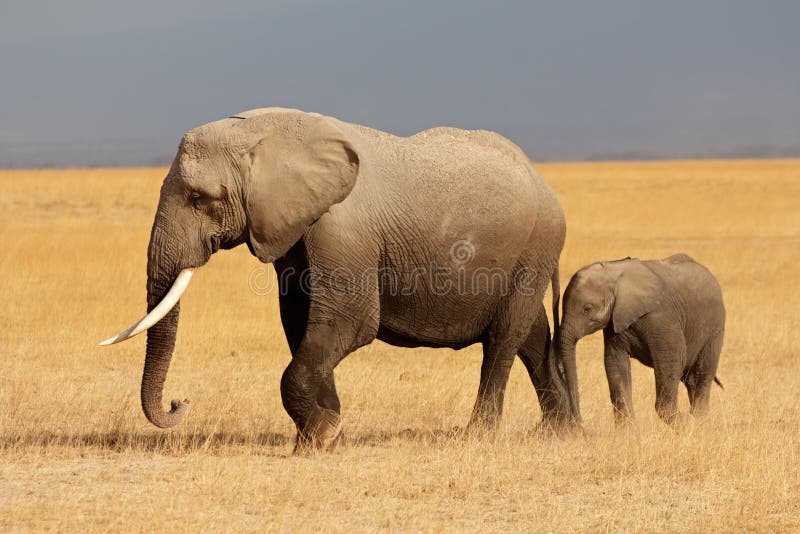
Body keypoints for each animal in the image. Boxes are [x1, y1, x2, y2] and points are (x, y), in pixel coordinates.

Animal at [101, 107, 568, 450]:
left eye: (201, 199)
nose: (180, 402)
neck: (266, 133)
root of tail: (544, 181)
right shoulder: (292, 229)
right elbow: (300, 323)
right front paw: (325, 430)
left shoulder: (341, 227)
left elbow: (351, 322)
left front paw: (321, 436)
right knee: (532, 335)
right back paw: (561, 430)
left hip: (536, 245)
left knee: (504, 338)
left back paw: (479, 435)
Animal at [556, 255, 724, 428]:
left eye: (587, 309)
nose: (581, 423)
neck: (615, 273)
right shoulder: (614, 322)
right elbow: (615, 363)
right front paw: (626, 431)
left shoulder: (662, 318)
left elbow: (671, 360)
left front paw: (686, 423)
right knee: (691, 379)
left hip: (715, 330)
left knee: (701, 375)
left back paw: (699, 422)